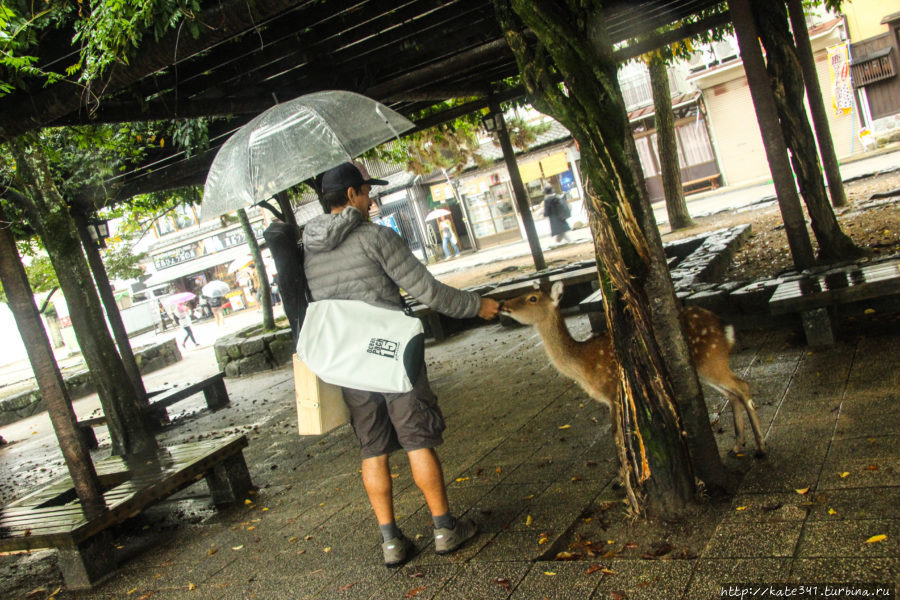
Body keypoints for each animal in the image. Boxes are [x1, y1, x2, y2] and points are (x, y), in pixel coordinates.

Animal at [500, 282, 768, 460]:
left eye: (532, 298)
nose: (503, 304)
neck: (583, 366)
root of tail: (726, 328)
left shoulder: (613, 391)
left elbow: (618, 436)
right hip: (706, 365)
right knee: (732, 394)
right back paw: (738, 445)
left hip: (712, 360)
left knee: (742, 386)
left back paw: (760, 446)